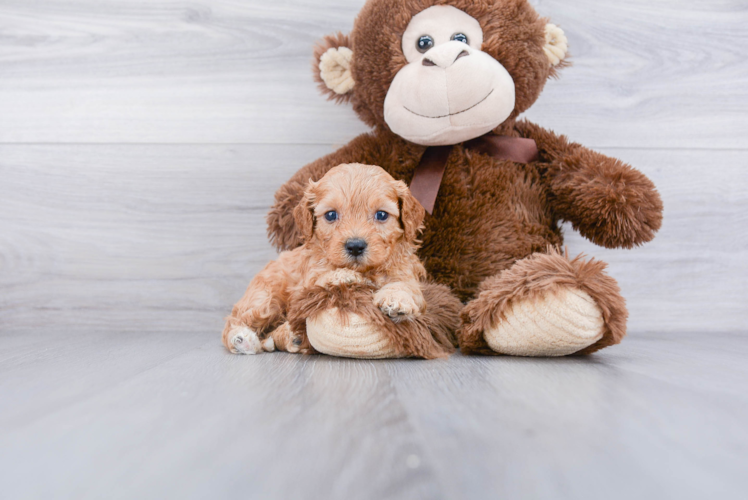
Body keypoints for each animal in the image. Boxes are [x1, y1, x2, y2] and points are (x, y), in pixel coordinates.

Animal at [221, 164, 432, 356]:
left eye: (381, 215)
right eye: (331, 215)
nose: (355, 246)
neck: (365, 270)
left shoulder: (406, 271)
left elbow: (406, 285)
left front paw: (396, 298)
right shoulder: (304, 286)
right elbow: (321, 278)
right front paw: (344, 276)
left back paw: (291, 337)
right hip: (264, 297)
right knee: (236, 320)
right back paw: (242, 340)